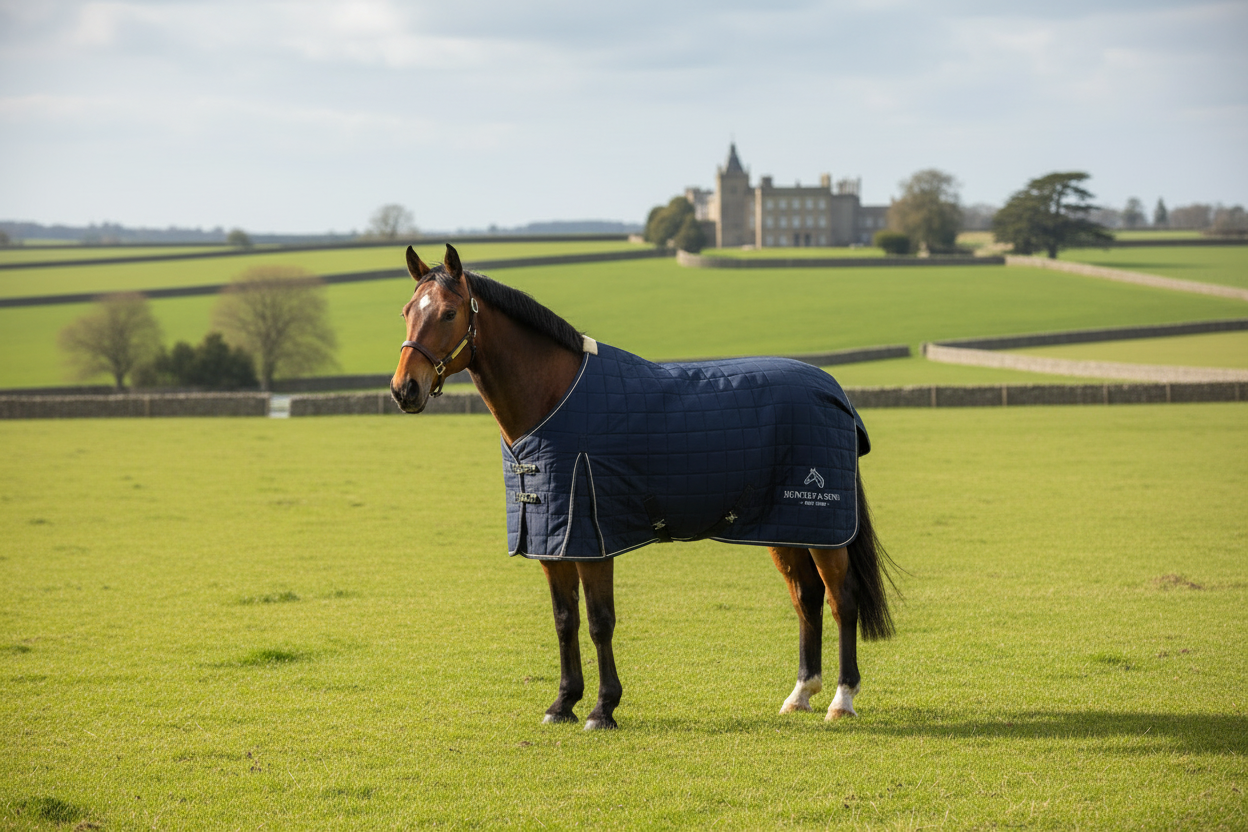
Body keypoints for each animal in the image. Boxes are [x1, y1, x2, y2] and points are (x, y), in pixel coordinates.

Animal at [391, 244, 896, 730]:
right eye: (406, 311)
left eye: (449, 313)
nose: (404, 389)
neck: (555, 400)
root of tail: (834, 391)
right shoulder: (550, 541)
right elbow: (564, 621)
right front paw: (562, 703)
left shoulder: (592, 540)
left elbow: (599, 622)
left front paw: (602, 709)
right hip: (786, 527)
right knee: (806, 599)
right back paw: (800, 694)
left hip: (824, 527)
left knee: (842, 600)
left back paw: (842, 700)